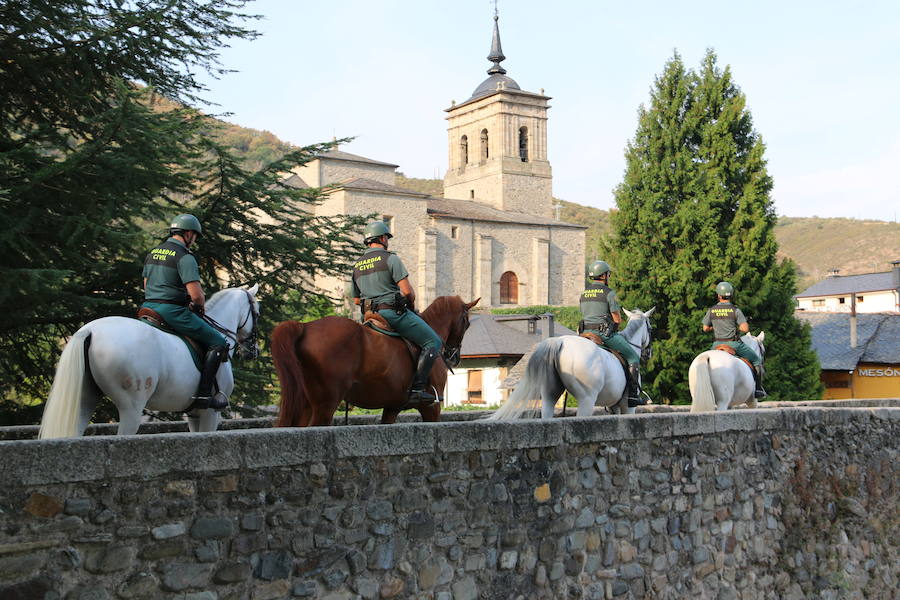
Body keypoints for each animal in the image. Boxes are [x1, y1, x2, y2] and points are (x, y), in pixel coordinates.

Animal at [40, 284, 258, 438]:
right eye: (257, 313)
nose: (253, 351)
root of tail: (90, 331)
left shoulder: (195, 412)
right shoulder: (211, 413)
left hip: (85, 398)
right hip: (132, 406)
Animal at [268, 296, 478, 426]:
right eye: (467, 323)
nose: (454, 356)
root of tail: (305, 327)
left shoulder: (392, 407)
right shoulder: (431, 407)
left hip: (306, 404)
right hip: (325, 405)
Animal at [486, 308, 652, 420]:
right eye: (650, 328)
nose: (648, 353)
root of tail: (559, 342)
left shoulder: (614, 406)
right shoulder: (627, 407)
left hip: (549, 395)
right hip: (587, 399)